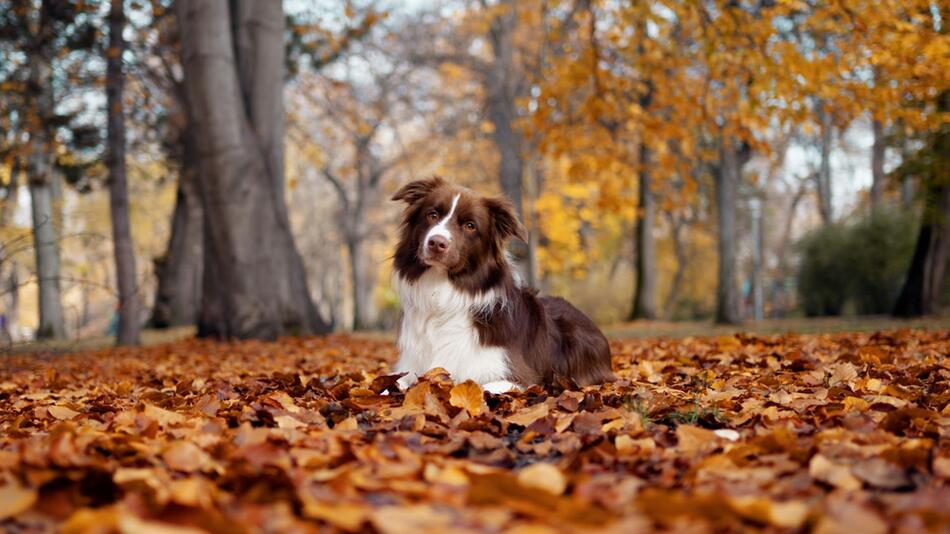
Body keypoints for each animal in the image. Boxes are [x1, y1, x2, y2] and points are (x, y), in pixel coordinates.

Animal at [388, 178, 616, 396]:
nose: (436, 243)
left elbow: (481, 386)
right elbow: (391, 382)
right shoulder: (410, 366)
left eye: (470, 226)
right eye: (432, 214)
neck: (442, 295)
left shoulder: (519, 376)